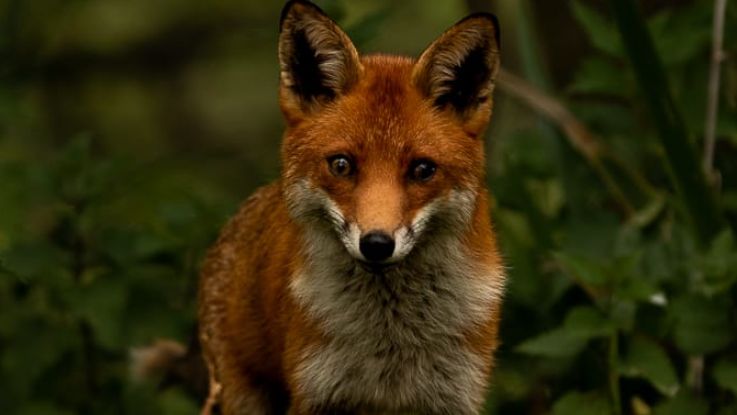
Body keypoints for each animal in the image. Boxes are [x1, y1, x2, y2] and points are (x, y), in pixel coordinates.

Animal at [196, 1, 506, 414]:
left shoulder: (455, 394)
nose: (377, 244)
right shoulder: (317, 392)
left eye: (423, 169)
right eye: (342, 165)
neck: (391, 339)